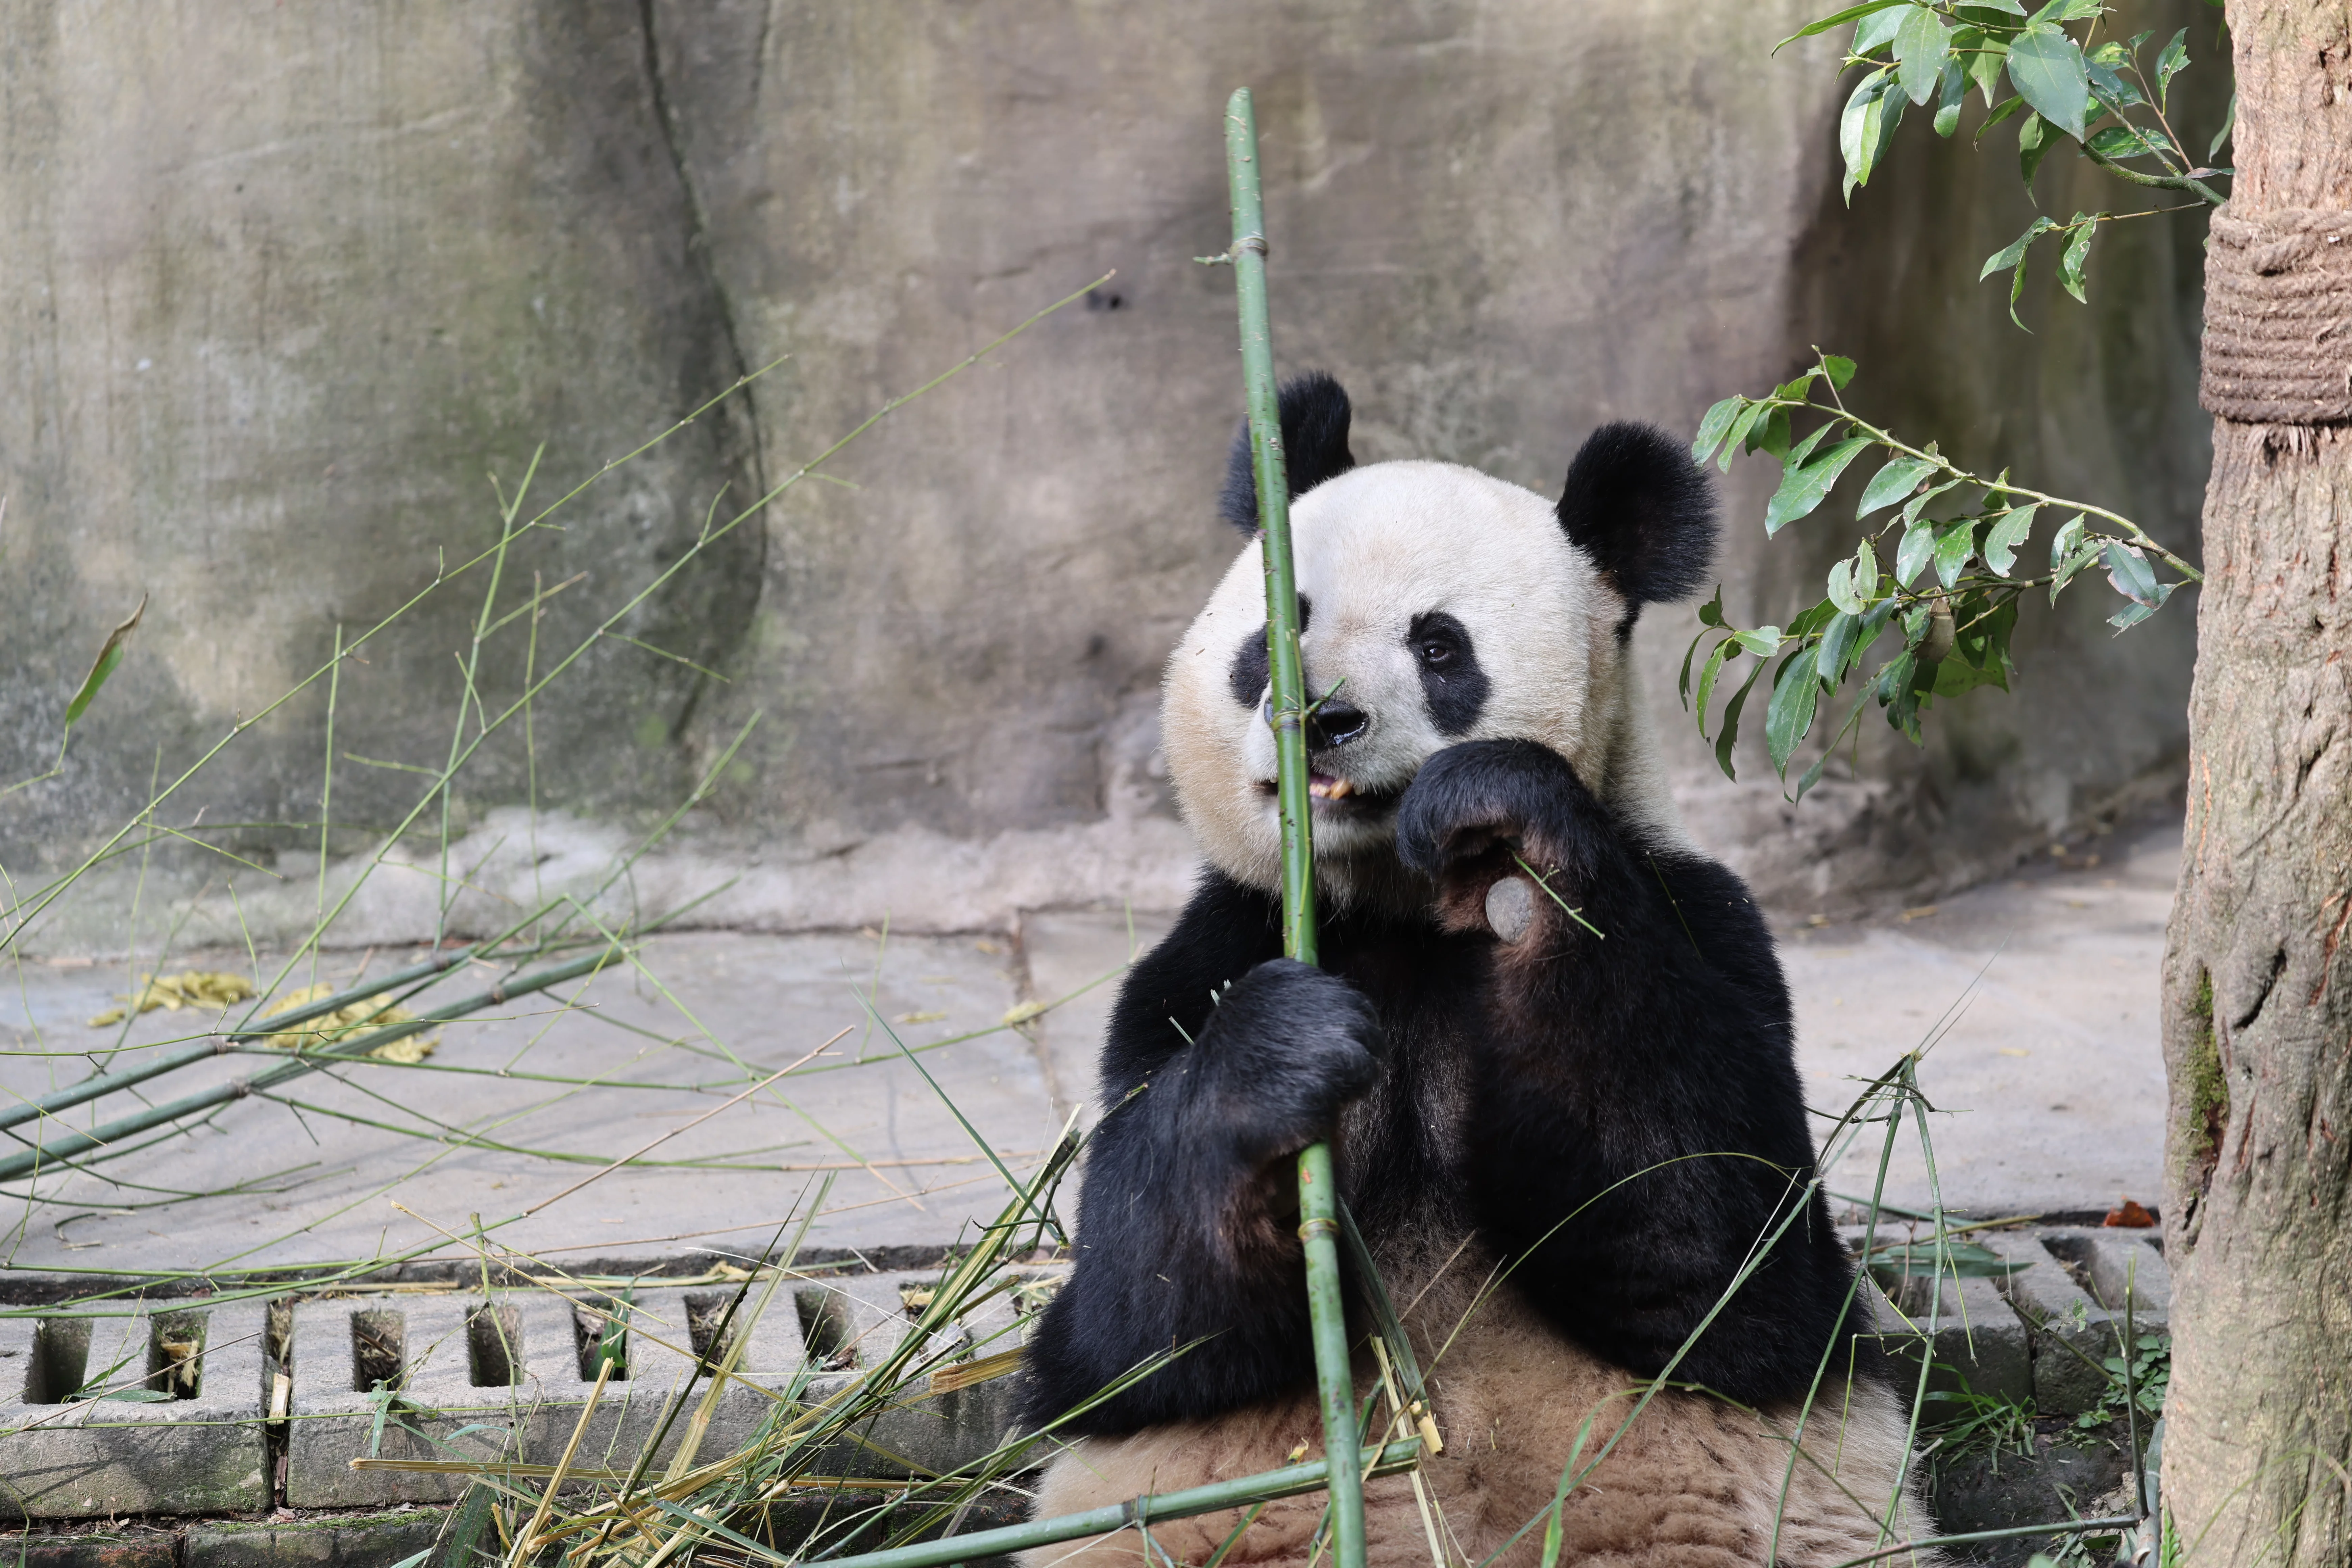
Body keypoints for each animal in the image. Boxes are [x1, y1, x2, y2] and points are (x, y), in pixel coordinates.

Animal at [1017, 374, 1936, 1568]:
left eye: (1440, 647)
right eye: (1277, 630)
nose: (1324, 718)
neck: (1399, 916)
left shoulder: (1711, 927)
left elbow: (1721, 1270)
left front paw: (1506, 834)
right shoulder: (1202, 958)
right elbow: (1135, 1328)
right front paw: (1281, 1053)